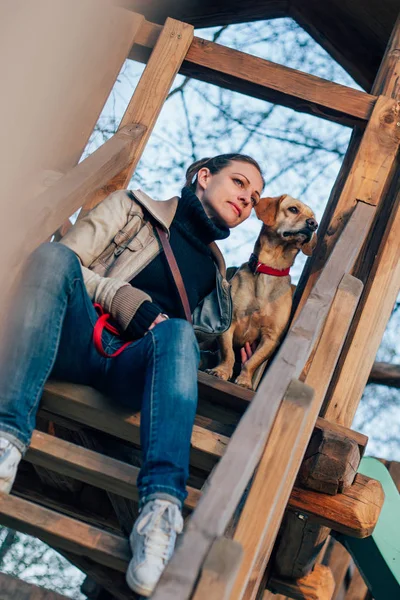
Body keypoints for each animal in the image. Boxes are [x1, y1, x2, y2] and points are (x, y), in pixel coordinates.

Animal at [208, 193, 318, 390]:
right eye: (293, 209)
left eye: (313, 217)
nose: (314, 224)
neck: (268, 268)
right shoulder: (229, 323)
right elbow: (229, 353)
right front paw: (222, 371)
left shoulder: (271, 336)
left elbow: (252, 361)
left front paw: (244, 380)